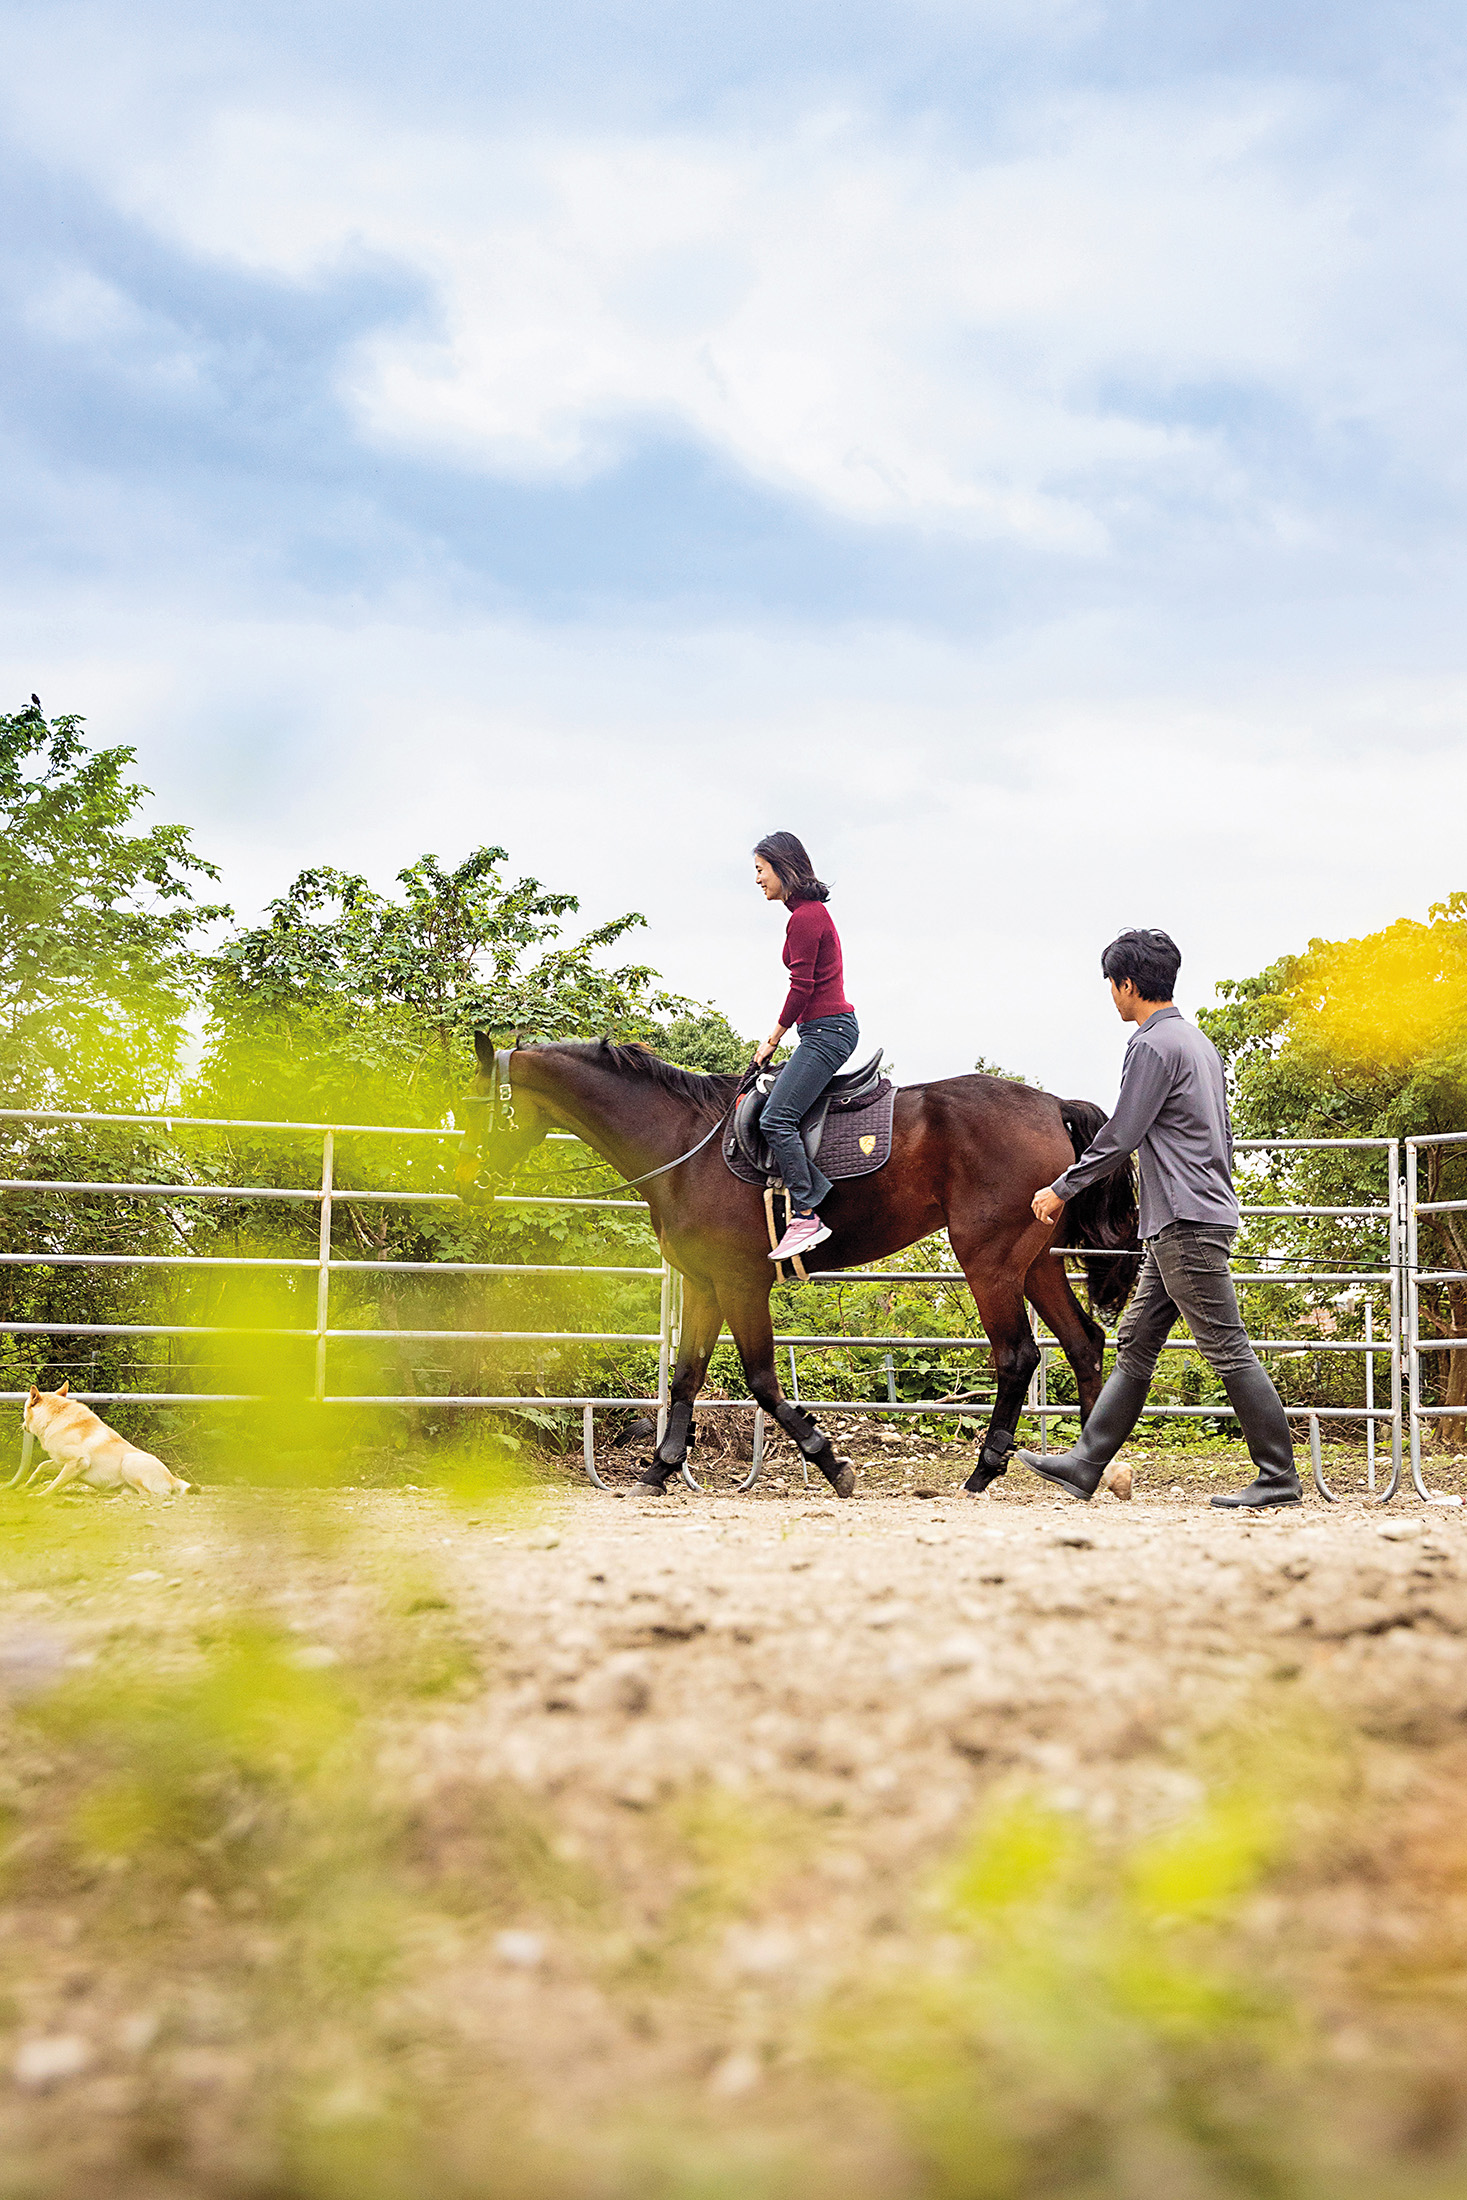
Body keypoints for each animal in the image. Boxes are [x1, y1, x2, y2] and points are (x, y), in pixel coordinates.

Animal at [454, 1036, 1140, 1496]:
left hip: (988, 1261)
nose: (466, 1187)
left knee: (1017, 1355)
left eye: (477, 1110)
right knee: (1083, 1341)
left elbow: (760, 1380)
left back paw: (986, 1470)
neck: (684, 1145)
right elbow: (686, 1376)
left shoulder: (739, 1283)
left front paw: (831, 1461)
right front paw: (659, 1468)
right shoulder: (704, 1284)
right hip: (1034, 1261)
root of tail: (1050, 1105)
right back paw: (1092, 1467)